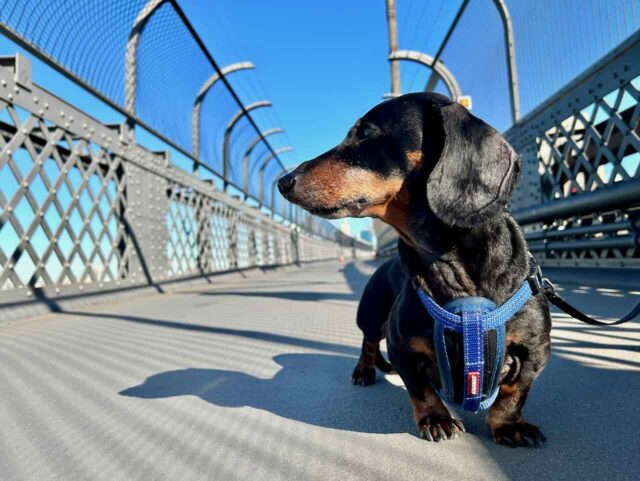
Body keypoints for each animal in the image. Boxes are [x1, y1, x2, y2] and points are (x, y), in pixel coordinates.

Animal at [278, 93, 552, 446]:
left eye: (366, 133)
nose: (283, 181)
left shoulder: (536, 350)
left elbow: (513, 393)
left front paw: (509, 425)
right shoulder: (400, 347)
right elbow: (420, 388)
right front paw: (437, 418)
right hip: (370, 313)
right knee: (368, 342)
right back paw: (363, 370)